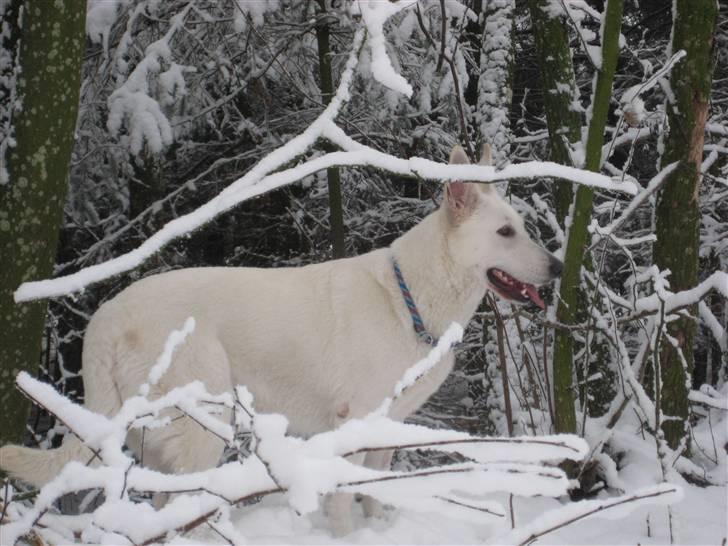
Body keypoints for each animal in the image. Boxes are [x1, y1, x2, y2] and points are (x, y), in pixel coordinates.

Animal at [0, 143, 564, 532]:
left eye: (520, 227)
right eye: (506, 233)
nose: (558, 268)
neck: (410, 300)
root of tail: (106, 317)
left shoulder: (385, 428)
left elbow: (374, 491)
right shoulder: (351, 425)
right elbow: (342, 496)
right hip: (207, 422)